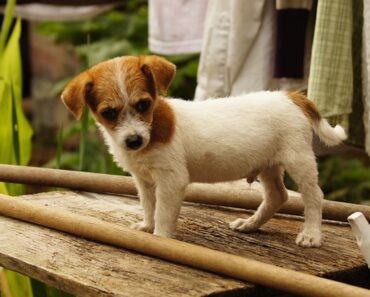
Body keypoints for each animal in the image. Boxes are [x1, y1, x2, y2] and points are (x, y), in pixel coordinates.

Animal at [60, 54, 346, 246]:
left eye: (143, 104)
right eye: (109, 113)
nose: (134, 140)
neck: (153, 128)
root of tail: (291, 96)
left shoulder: (171, 180)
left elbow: (163, 213)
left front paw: (160, 238)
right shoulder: (144, 180)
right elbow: (149, 206)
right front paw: (148, 226)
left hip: (299, 160)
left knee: (314, 196)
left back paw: (311, 234)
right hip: (269, 164)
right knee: (278, 196)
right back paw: (250, 224)